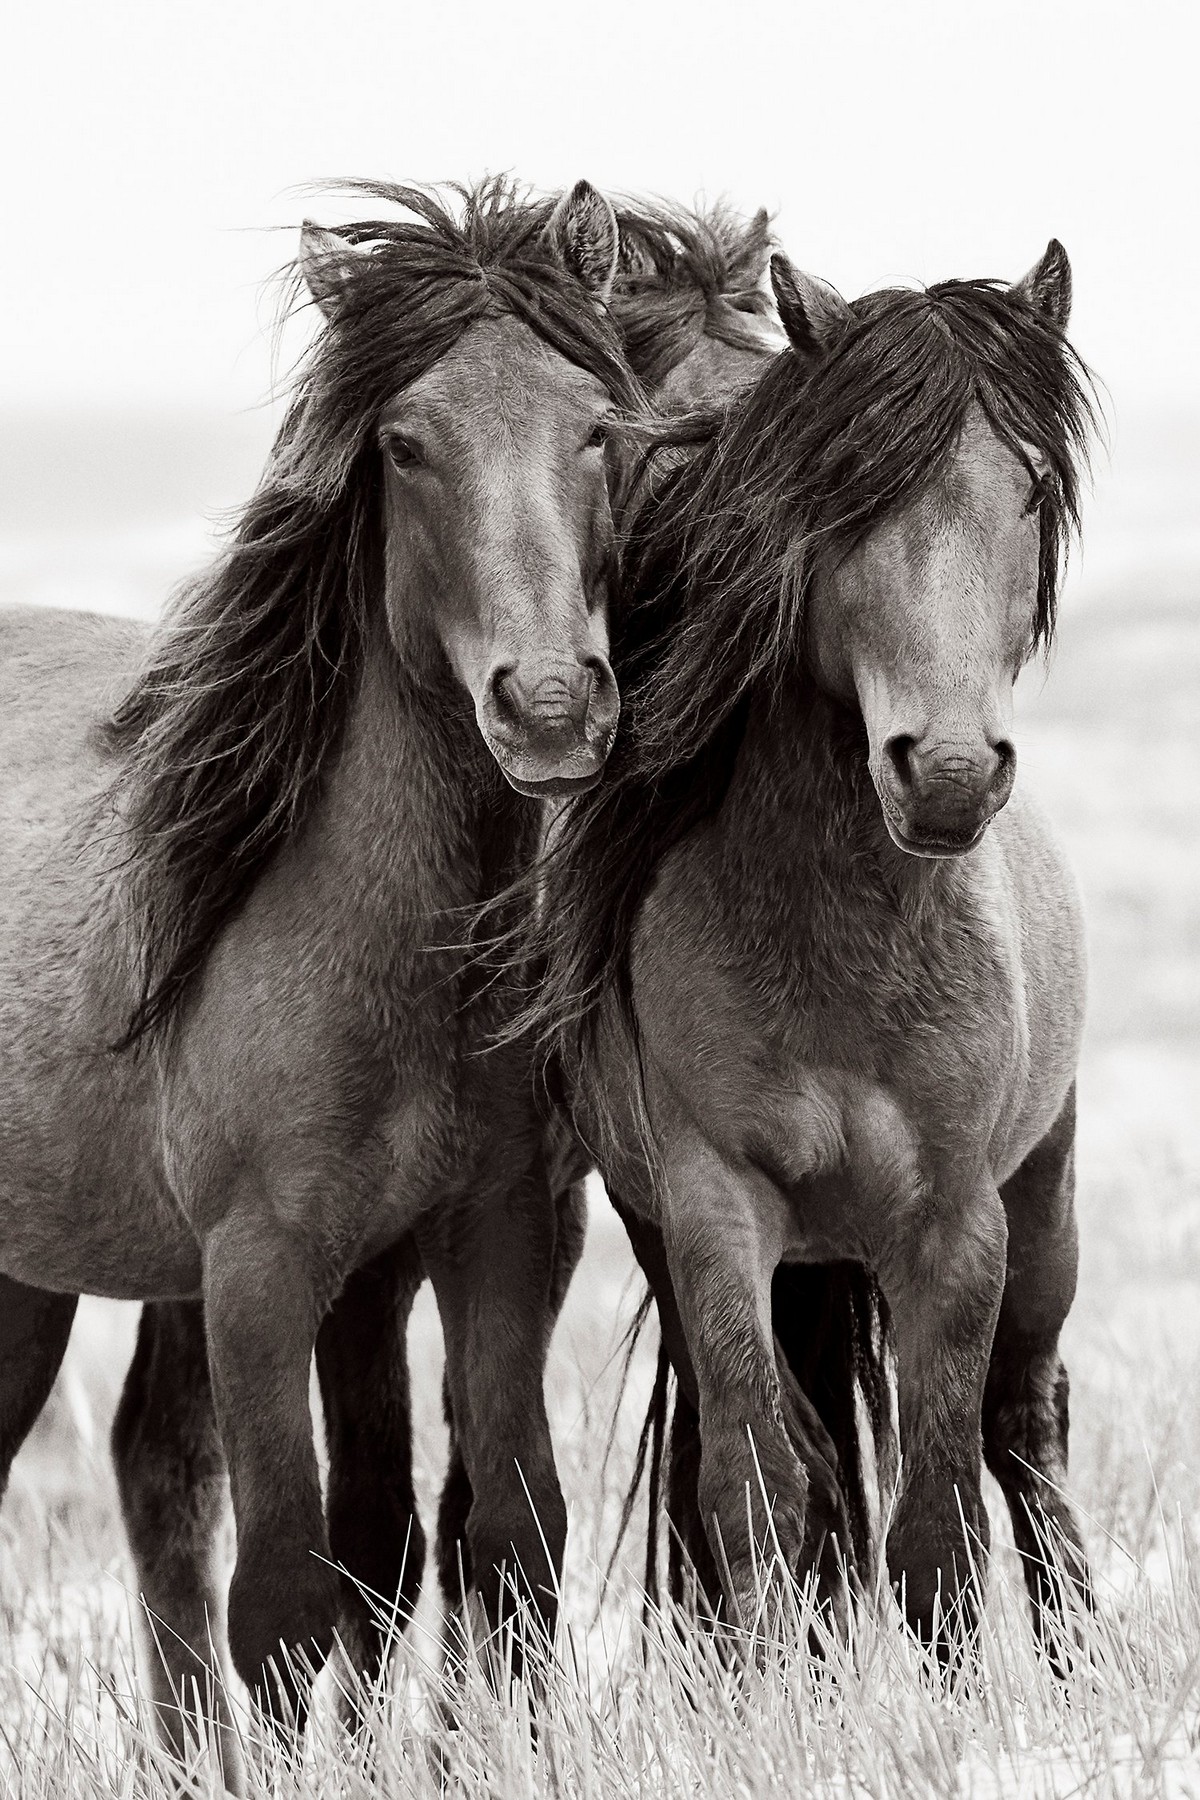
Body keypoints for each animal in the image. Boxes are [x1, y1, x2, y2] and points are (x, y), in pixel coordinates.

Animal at [0, 169, 636, 1771]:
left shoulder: (483, 1242)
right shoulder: (263, 1271)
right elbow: (290, 1596)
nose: (549, 707)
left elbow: (495, 1544)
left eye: (599, 428)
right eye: (404, 446)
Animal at [525, 239, 1101, 1656]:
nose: (947, 774)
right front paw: (776, 1672)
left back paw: (1079, 1654)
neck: (841, 954)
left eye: (1029, 488)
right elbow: (758, 1480)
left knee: (1028, 1428)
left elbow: (941, 1513)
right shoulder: (712, 1211)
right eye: (845, 496)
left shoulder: (958, 1225)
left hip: (1046, 1205)